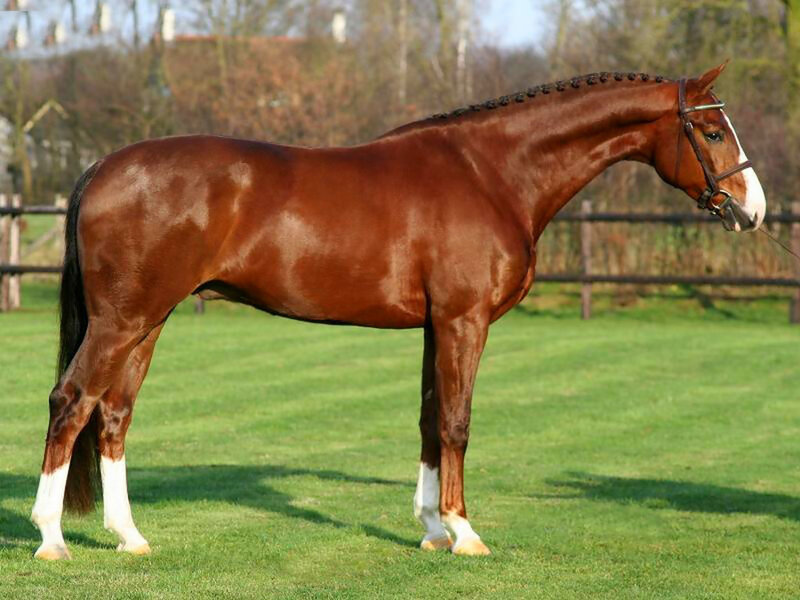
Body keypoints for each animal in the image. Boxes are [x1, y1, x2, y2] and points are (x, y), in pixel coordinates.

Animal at [31, 62, 765, 559]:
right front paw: (465, 532)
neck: (490, 172)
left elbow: (428, 420)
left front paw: (433, 529)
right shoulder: (465, 320)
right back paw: (51, 538)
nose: (752, 210)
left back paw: (129, 537)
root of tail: (100, 167)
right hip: (122, 322)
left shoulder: (438, 326)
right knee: (71, 401)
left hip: (148, 322)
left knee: (113, 414)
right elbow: (458, 423)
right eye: (709, 130)